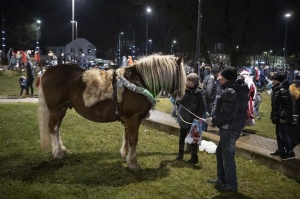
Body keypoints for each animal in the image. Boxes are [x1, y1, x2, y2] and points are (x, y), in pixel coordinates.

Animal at [38, 54, 186, 171]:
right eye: (180, 76)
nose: (180, 99)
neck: (139, 82)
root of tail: (48, 70)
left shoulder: (129, 119)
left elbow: (127, 136)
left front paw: (125, 156)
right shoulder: (134, 117)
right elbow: (133, 139)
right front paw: (133, 163)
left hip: (63, 108)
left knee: (57, 127)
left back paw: (61, 149)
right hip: (55, 108)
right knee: (53, 127)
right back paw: (58, 153)